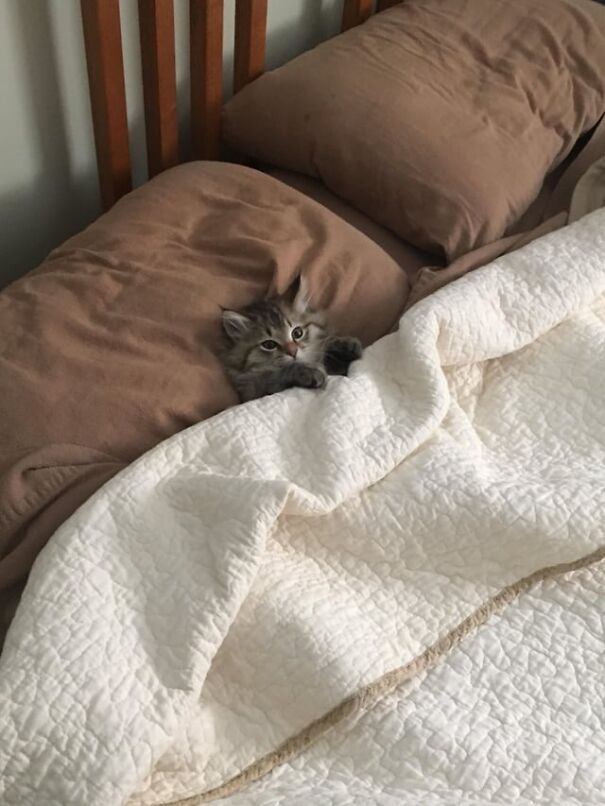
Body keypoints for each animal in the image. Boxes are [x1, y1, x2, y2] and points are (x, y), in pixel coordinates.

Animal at [223, 284, 360, 404]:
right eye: (269, 345)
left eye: (297, 333)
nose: (293, 352)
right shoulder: (252, 391)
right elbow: (281, 373)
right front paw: (308, 371)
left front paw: (344, 346)